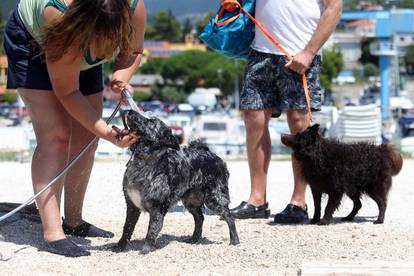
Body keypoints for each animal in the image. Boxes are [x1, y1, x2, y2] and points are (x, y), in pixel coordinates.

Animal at [115, 109, 241, 252]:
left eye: (151, 121)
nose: (129, 111)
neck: (144, 161)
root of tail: (212, 155)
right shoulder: (132, 205)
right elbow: (127, 228)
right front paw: (120, 247)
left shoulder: (157, 207)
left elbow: (151, 230)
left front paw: (146, 250)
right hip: (191, 201)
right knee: (200, 218)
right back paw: (194, 239)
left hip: (215, 199)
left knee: (229, 217)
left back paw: (234, 241)